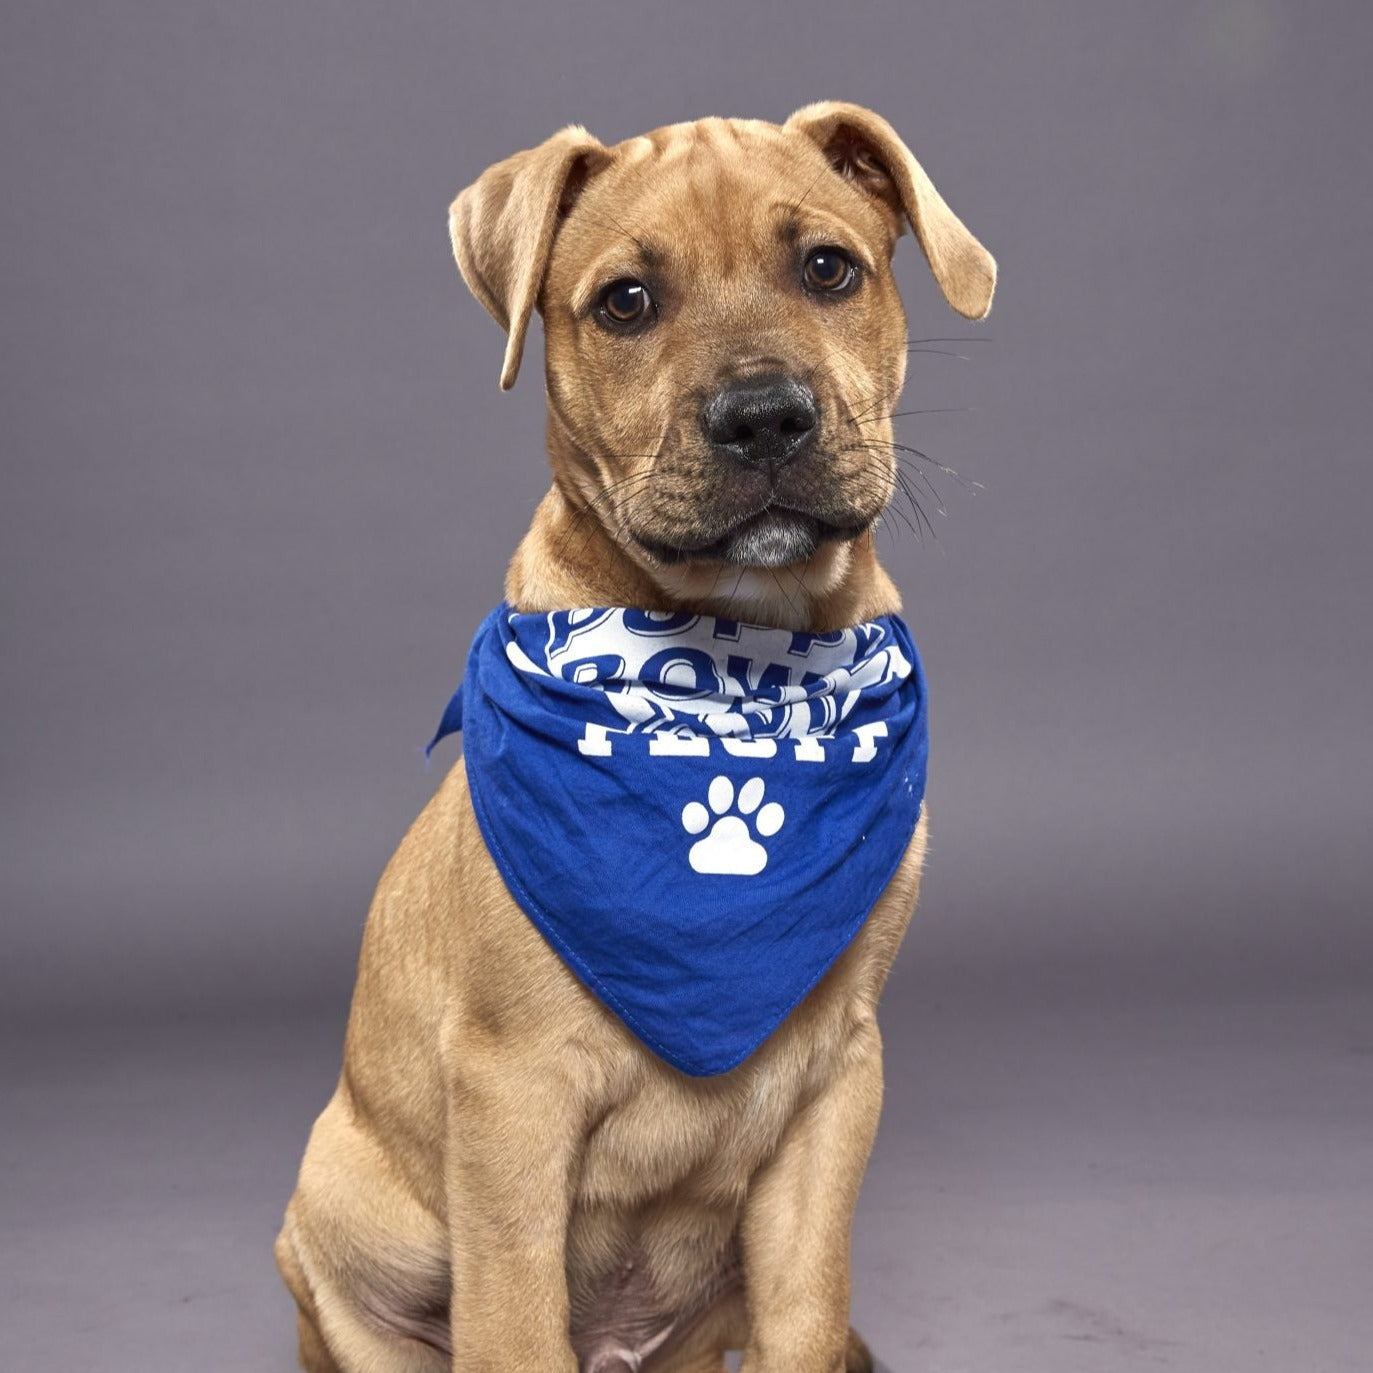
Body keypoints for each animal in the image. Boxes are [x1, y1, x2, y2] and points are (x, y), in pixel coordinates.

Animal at [273, 99, 994, 1373]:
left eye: (827, 269)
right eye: (623, 302)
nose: (762, 417)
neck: (736, 676)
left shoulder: (835, 1082)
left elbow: (806, 1309)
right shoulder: (510, 1096)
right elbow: (512, 1322)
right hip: (336, 1219)